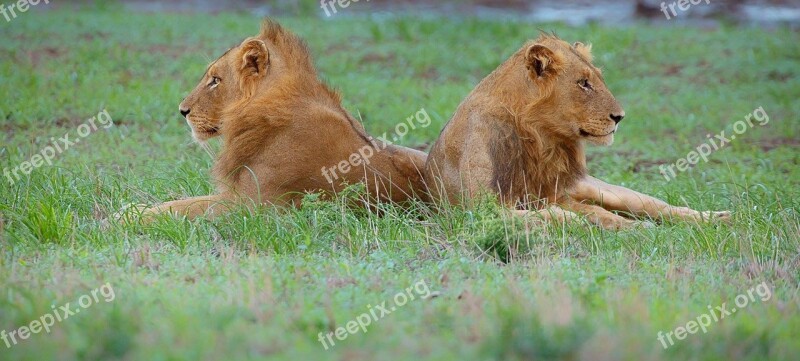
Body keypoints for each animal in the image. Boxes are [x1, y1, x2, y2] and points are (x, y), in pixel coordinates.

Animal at [136, 19, 432, 221]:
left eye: (215, 80)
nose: (182, 110)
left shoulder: (250, 207)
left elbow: (179, 207)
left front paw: (131, 215)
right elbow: (180, 201)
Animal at [428, 33, 728, 228]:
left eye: (597, 79)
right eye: (583, 83)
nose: (620, 117)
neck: (541, 136)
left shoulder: (554, 192)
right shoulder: (479, 208)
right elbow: (555, 213)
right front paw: (578, 221)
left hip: (606, 190)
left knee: (655, 206)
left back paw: (715, 218)